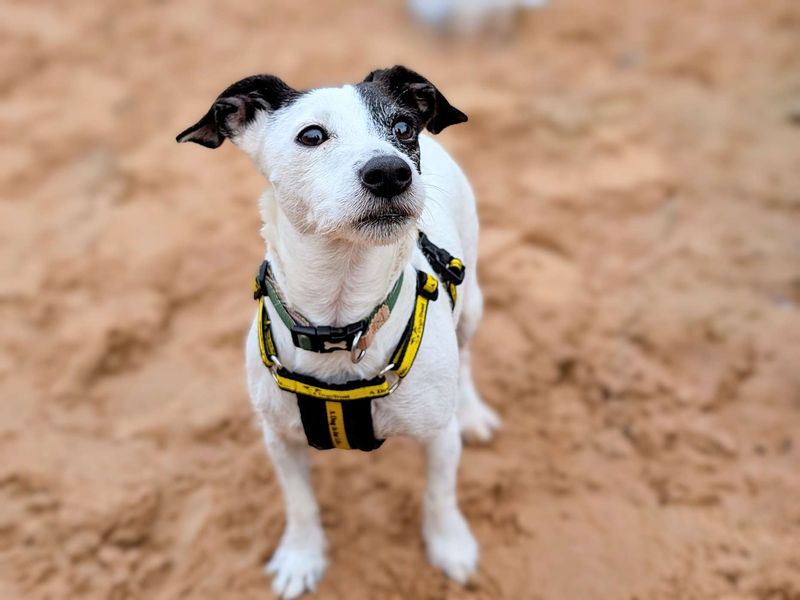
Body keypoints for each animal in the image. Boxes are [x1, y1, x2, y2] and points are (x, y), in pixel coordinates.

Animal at [180, 67, 500, 600]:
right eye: (311, 135)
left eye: (403, 128)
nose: (391, 171)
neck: (341, 322)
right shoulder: (279, 440)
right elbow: (300, 504)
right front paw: (301, 556)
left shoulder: (439, 436)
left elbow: (439, 495)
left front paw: (449, 545)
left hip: (471, 299)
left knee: (470, 354)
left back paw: (472, 410)